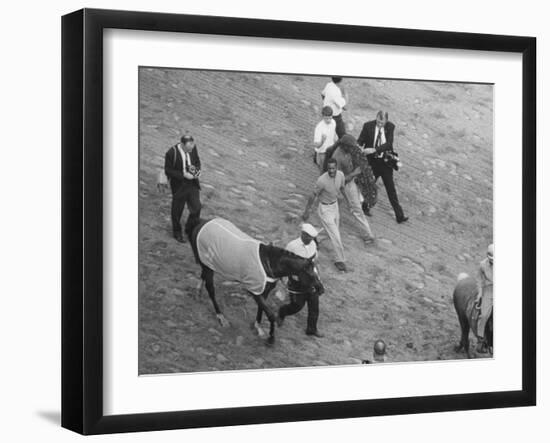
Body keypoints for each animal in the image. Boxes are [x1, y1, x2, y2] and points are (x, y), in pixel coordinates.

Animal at [187, 217, 324, 346]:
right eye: (310, 274)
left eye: (317, 271)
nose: (321, 290)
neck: (268, 263)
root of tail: (201, 223)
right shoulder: (254, 290)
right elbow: (270, 314)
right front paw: (270, 338)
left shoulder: (264, 290)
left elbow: (261, 309)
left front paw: (258, 327)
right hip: (208, 265)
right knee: (210, 289)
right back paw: (221, 317)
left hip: (207, 264)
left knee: (203, 276)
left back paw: (198, 293)